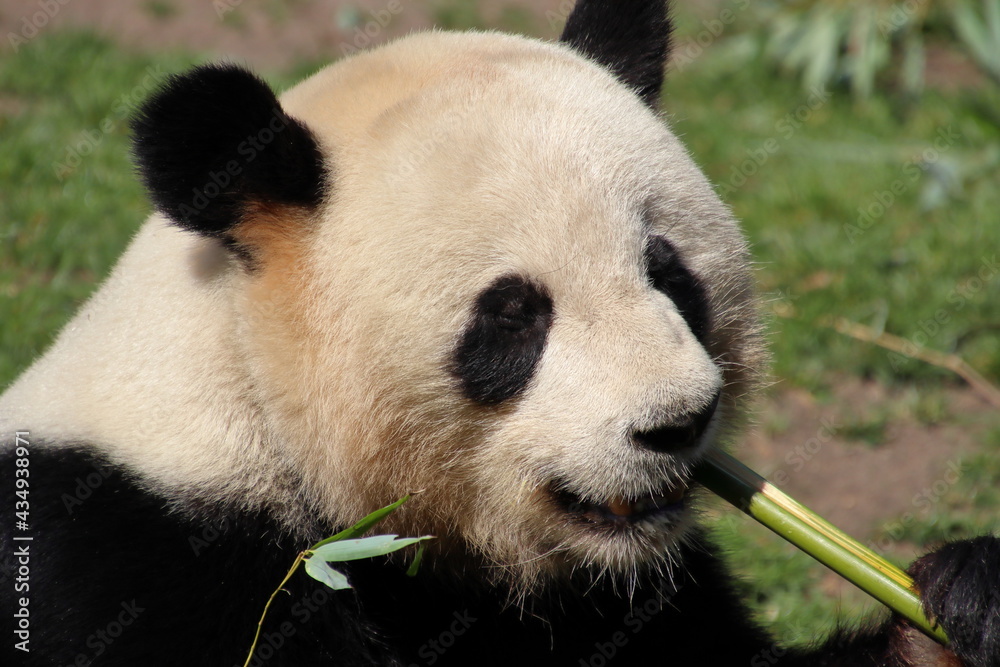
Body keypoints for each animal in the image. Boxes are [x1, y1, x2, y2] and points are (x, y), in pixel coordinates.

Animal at [2, 0, 999, 665]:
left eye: (669, 273)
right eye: (513, 316)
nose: (676, 424)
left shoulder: (623, 595)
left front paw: (963, 601)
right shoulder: (143, 561)